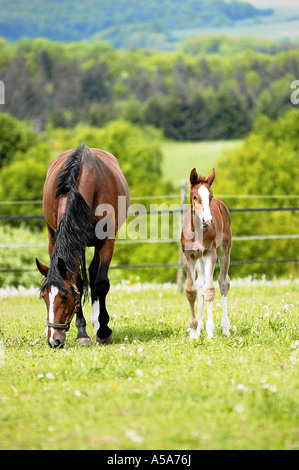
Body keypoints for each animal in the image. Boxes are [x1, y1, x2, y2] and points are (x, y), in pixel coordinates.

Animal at [36, 145, 130, 346]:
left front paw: (103, 331)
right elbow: (78, 283)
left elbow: (101, 282)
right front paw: (82, 332)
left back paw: (98, 323)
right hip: (54, 237)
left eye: (64, 297)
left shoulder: (107, 241)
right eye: (44, 296)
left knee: (94, 275)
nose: (54, 340)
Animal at [180, 167, 232, 340]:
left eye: (211, 196)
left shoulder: (210, 254)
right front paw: (194, 331)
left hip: (224, 251)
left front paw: (210, 332)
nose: (207, 220)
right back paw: (200, 327)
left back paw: (225, 327)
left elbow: (210, 289)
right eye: (195, 196)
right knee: (200, 283)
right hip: (199, 260)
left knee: (223, 283)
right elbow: (191, 291)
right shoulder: (188, 257)